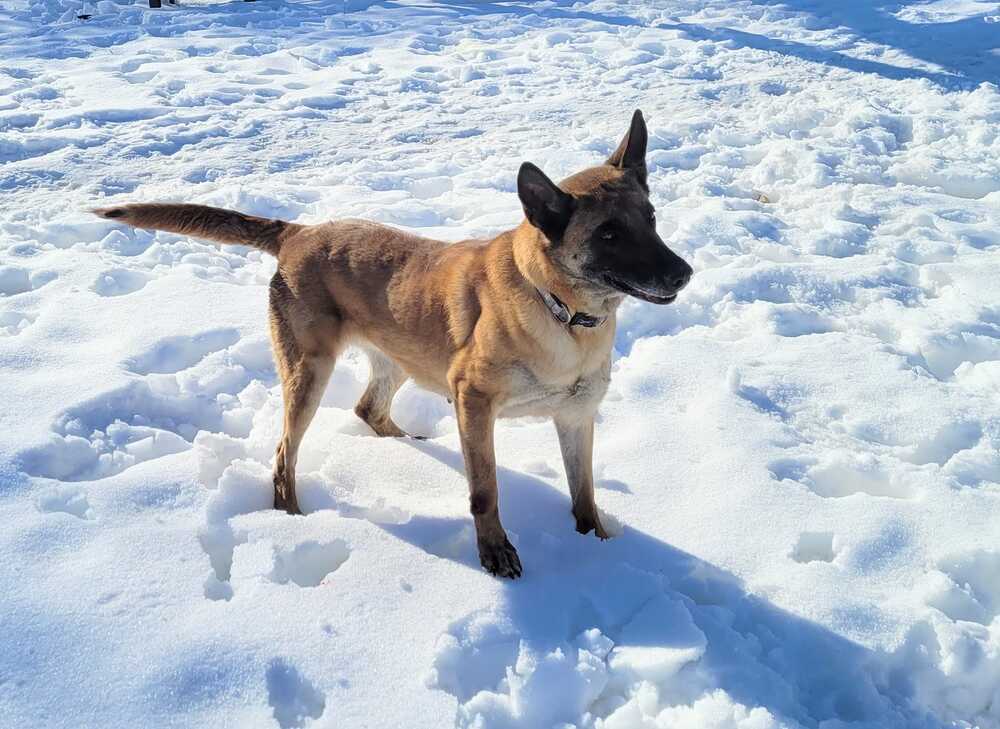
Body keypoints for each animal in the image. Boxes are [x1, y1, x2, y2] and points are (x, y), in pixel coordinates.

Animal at [97, 109, 696, 576]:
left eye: (651, 218)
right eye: (609, 235)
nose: (684, 273)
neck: (563, 311)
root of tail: (299, 232)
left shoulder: (574, 416)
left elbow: (584, 492)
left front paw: (599, 549)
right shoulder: (474, 398)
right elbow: (485, 491)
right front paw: (495, 553)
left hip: (402, 357)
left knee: (368, 408)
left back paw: (408, 443)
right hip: (310, 373)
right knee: (285, 452)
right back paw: (291, 515)